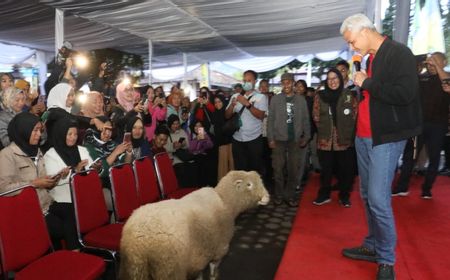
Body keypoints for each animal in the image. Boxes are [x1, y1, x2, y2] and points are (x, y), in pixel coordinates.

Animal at [118, 171, 268, 280]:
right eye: (249, 185)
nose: (267, 197)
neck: (225, 202)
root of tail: (141, 240)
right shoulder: (219, 248)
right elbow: (213, 270)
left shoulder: (198, 257)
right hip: (168, 268)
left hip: (134, 268)